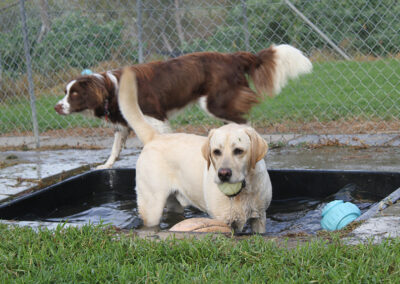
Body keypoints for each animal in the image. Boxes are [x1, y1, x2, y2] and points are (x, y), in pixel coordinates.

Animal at [54, 44, 310, 169]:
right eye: (65, 91)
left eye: (74, 93)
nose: (56, 107)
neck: (111, 89)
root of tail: (234, 57)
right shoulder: (124, 125)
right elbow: (115, 149)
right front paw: (105, 166)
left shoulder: (156, 117)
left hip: (215, 102)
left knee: (244, 123)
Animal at [118, 69, 272, 233]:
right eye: (216, 152)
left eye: (238, 150)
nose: (223, 174)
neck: (244, 192)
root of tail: (154, 136)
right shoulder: (222, 220)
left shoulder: (259, 218)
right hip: (151, 207)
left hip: (174, 203)